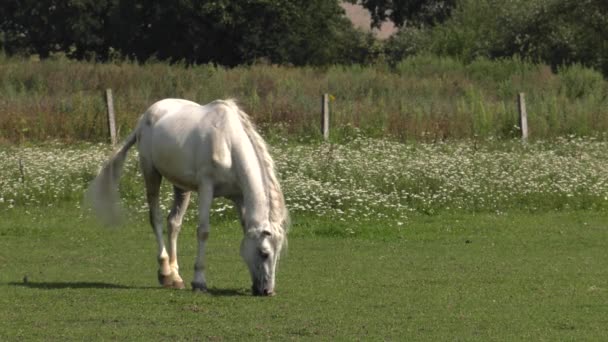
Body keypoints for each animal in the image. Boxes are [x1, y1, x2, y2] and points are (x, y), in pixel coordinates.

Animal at [86, 97, 290, 296]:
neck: (227, 143)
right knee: (156, 219)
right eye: (264, 253)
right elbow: (203, 232)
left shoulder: (239, 197)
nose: (267, 291)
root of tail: (145, 117)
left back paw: (176, 277)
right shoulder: (206, 188)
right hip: (151, 174)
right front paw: (199, 281)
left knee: (173, 223)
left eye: (278, 254)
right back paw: (165, 272)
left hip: (182, 188)